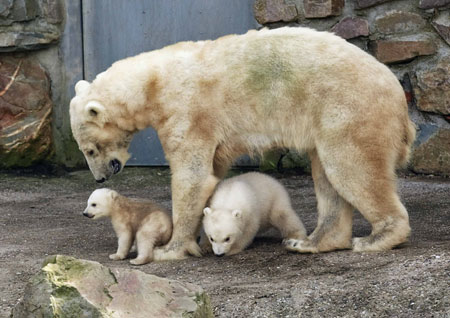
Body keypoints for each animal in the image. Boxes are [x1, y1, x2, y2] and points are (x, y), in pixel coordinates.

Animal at [69, 27, 414, 260]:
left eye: (89, 149)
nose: (100, 177)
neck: (152, 83)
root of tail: (397, 91)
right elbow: (213, 170)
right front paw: (201, 237)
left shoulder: (187, 110)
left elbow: (192, 177)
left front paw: (169, 248)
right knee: (327, 175)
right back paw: (308, 242)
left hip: (346, 107)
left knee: (350, 167)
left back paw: (375, 239)